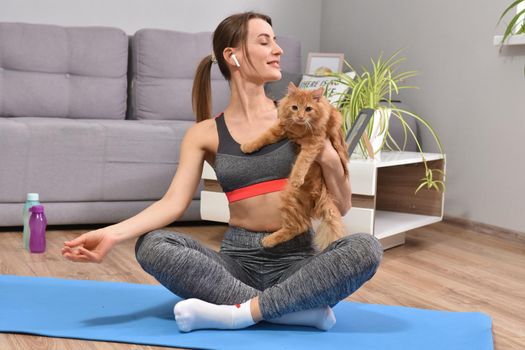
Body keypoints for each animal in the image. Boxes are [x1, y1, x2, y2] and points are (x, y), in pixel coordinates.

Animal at [241, 83, 348, 250]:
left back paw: (268, 241)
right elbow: (263, 136)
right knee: (301, 226)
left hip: (289, 195)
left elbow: (302, 162)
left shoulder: (314, 143)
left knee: (298, 227)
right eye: (295, 107)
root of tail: (322, 193)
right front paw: (248, 146)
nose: (300, 116)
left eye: (308, 109)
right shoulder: (282, 128)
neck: (300, 127)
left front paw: (297, 178)